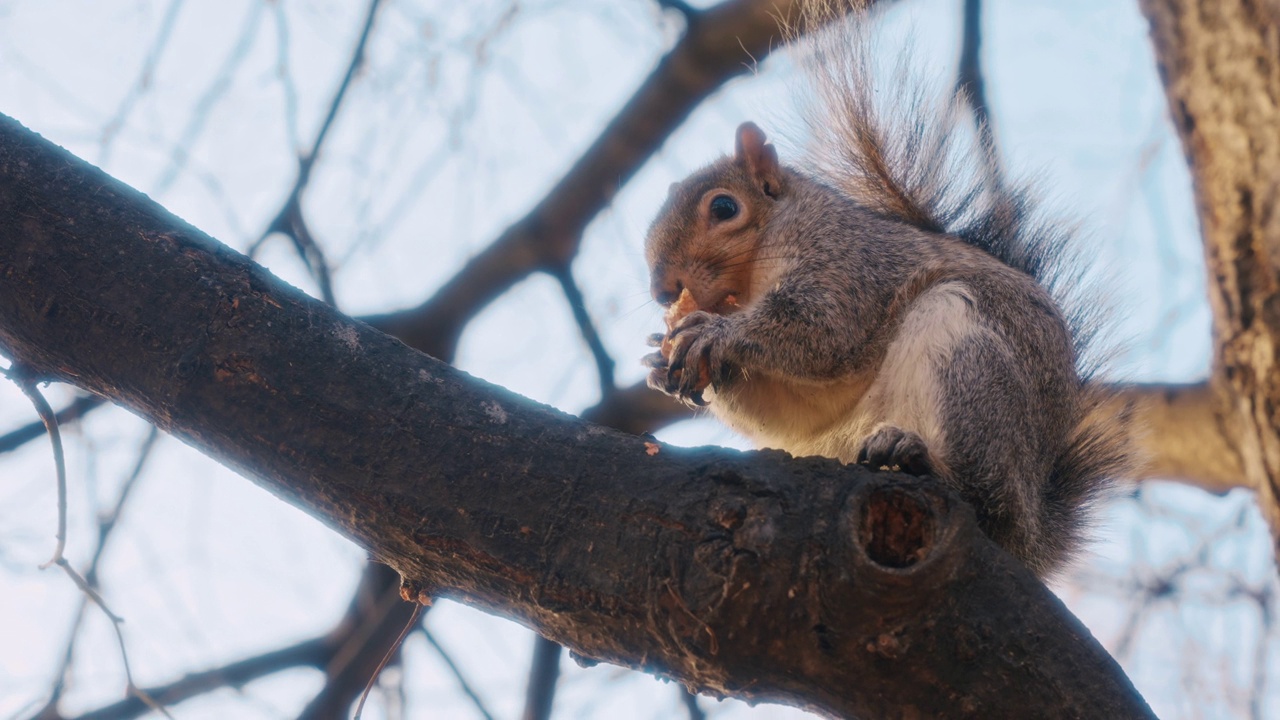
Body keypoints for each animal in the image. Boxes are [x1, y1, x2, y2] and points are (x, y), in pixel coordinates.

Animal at [640, 4, 1131, 576]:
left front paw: (713, 333)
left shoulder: (849, 262)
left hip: (971, 369)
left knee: (985, 497)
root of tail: (1033, 538)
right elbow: (786, 409)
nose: (662, 289)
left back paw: (921, 458)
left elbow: (822, 328)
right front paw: (660, 361)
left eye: (723, 208)